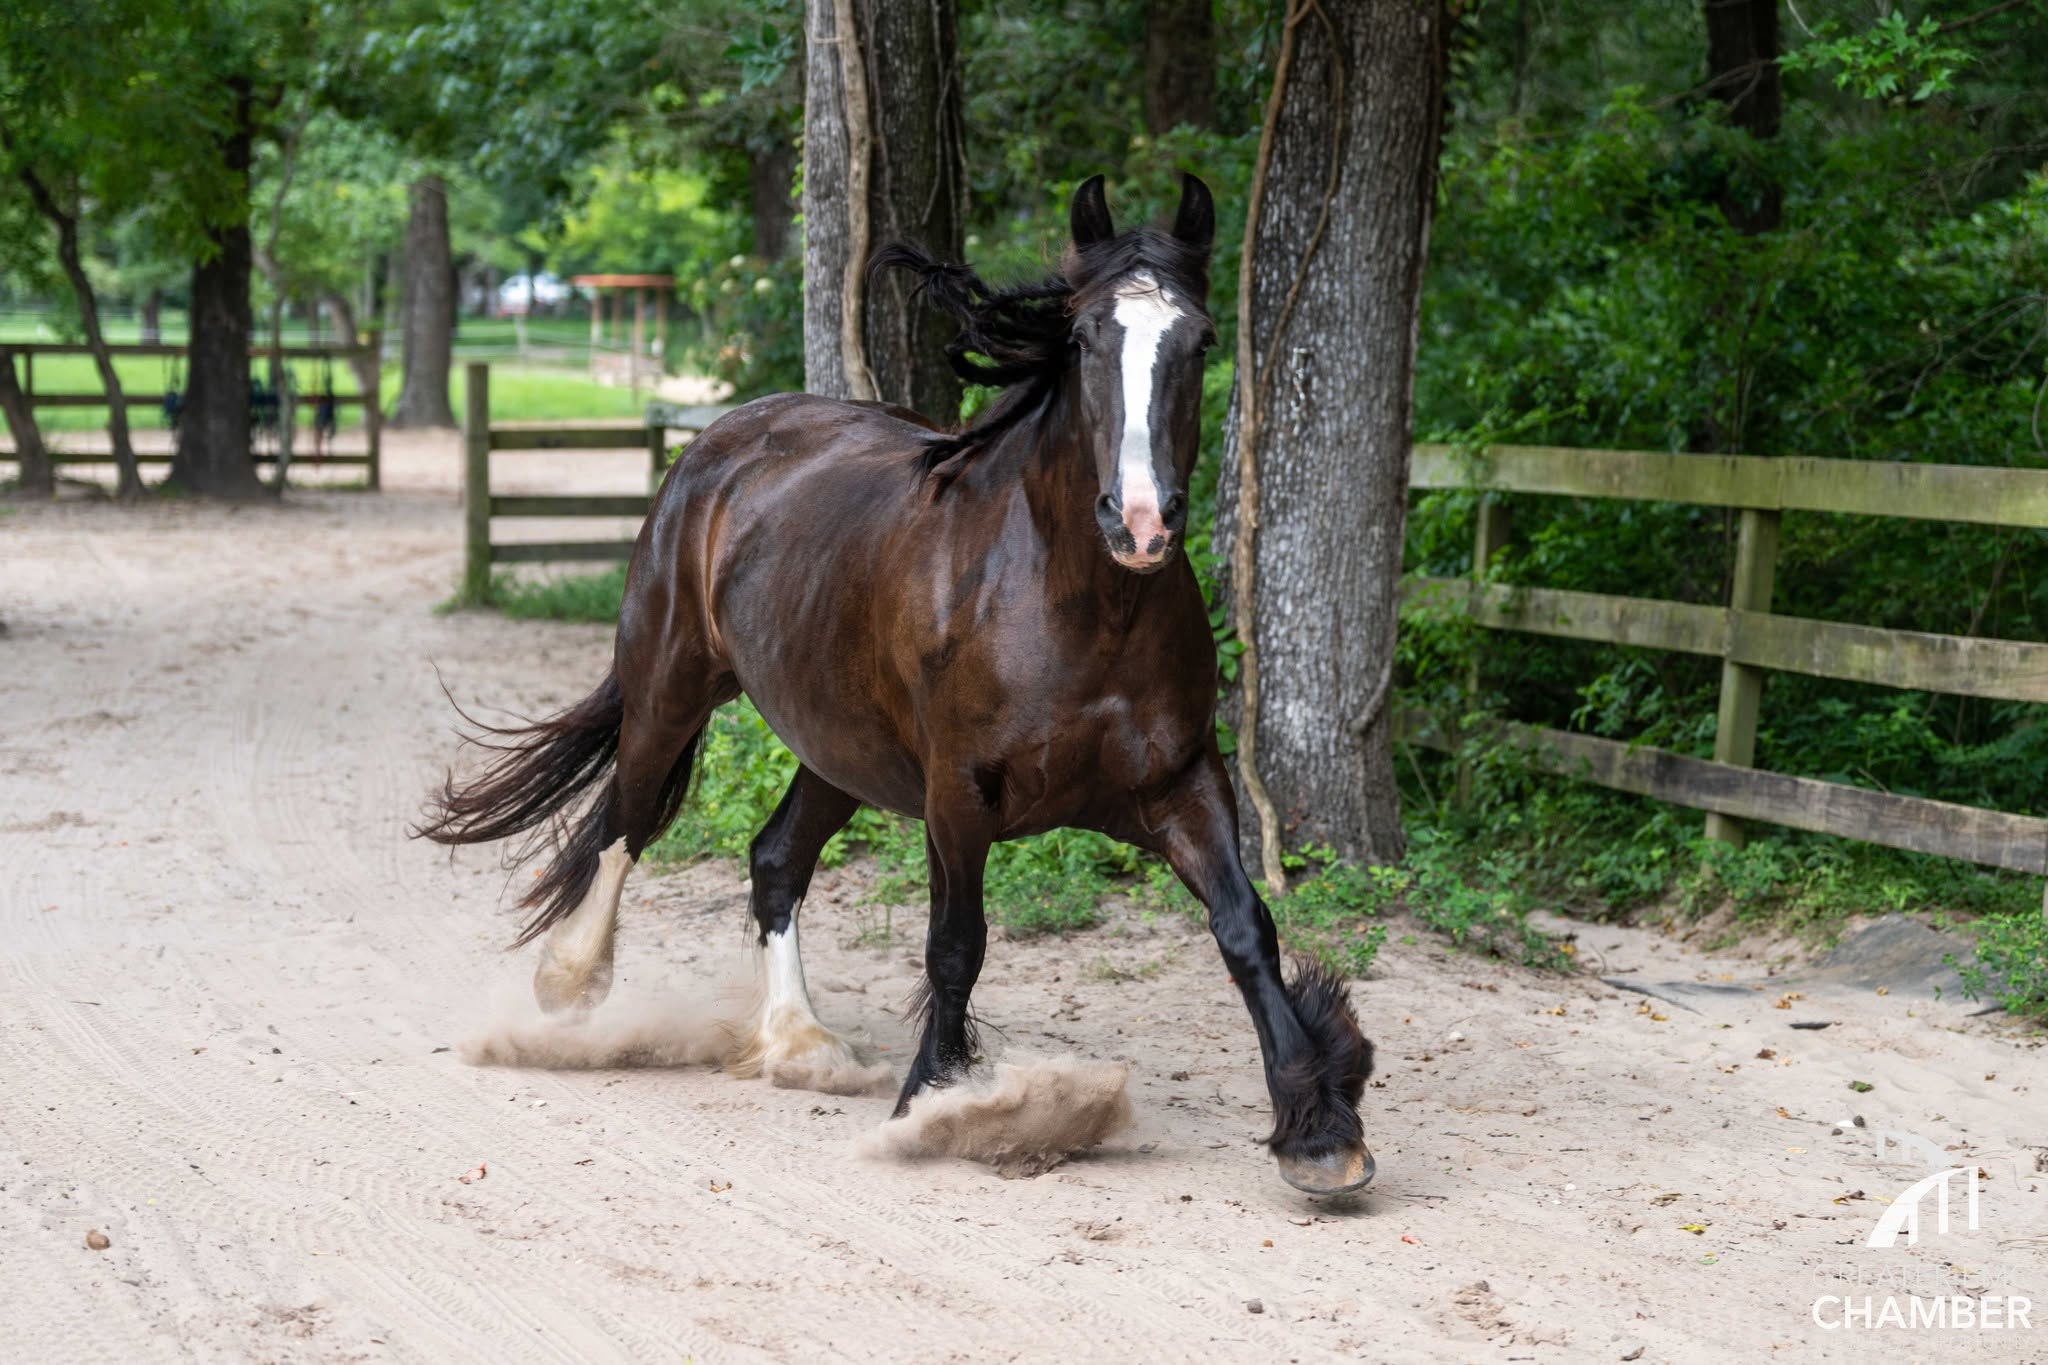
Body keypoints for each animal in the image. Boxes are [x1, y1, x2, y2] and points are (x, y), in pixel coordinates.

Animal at [417, 175, 1375, 1194]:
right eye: (1083, 339)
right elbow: (957, 944)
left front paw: (1318, 1126)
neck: (1079, 606)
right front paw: (933, 1102)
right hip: (671, 688)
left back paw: (802, 1043)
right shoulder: (959, 793)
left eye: (1199, 340)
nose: (1142, 522)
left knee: (774, 858)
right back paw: (570, 985)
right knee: (625, 821)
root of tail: (714, 444)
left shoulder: (1183, 780)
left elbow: (1246, 927)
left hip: (839, 748)